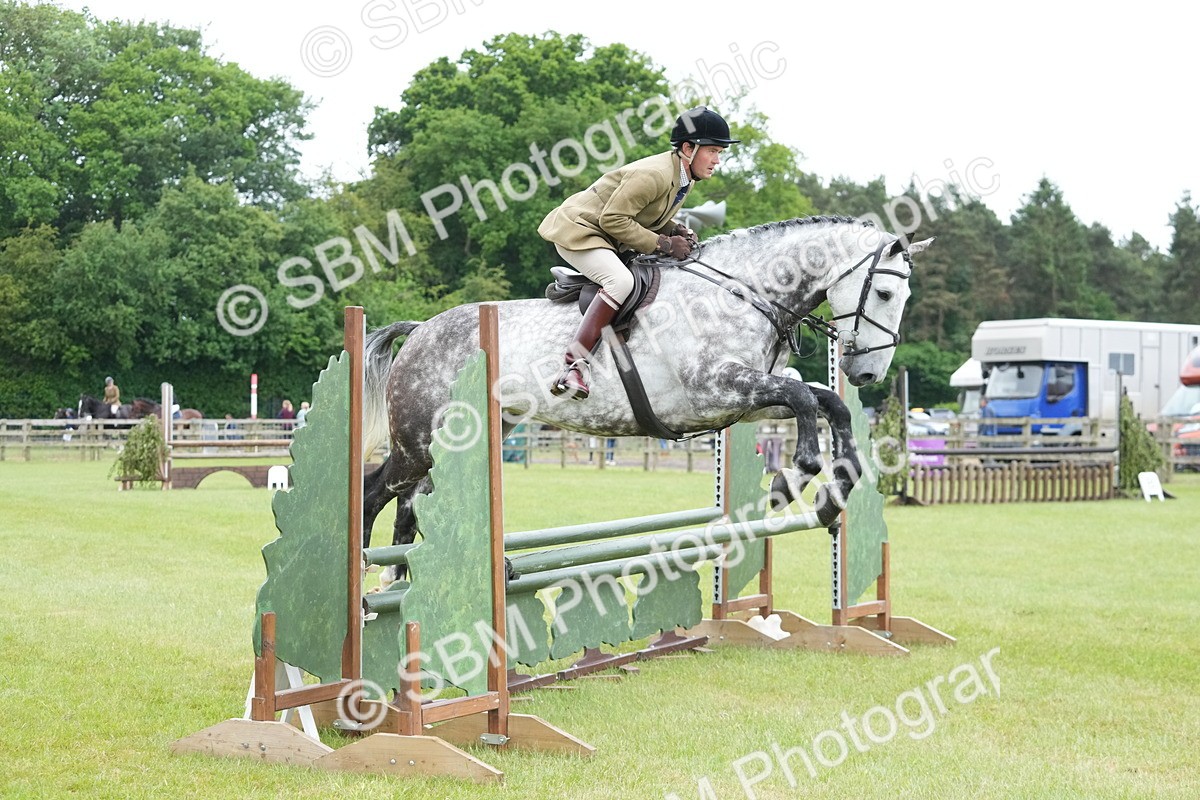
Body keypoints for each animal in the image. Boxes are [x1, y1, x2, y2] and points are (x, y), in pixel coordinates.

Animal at [360, 216, 933, 566]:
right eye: (885, 292)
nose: (867, 375)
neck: (741, 293)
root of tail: (422, 330)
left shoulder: (742, 406)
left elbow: (824, 401)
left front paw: (832, 497)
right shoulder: (714, 392)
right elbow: (804, 401)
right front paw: (794, 479)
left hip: (469, 439)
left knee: (409, 507)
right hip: (418, 444)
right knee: (374, 495)